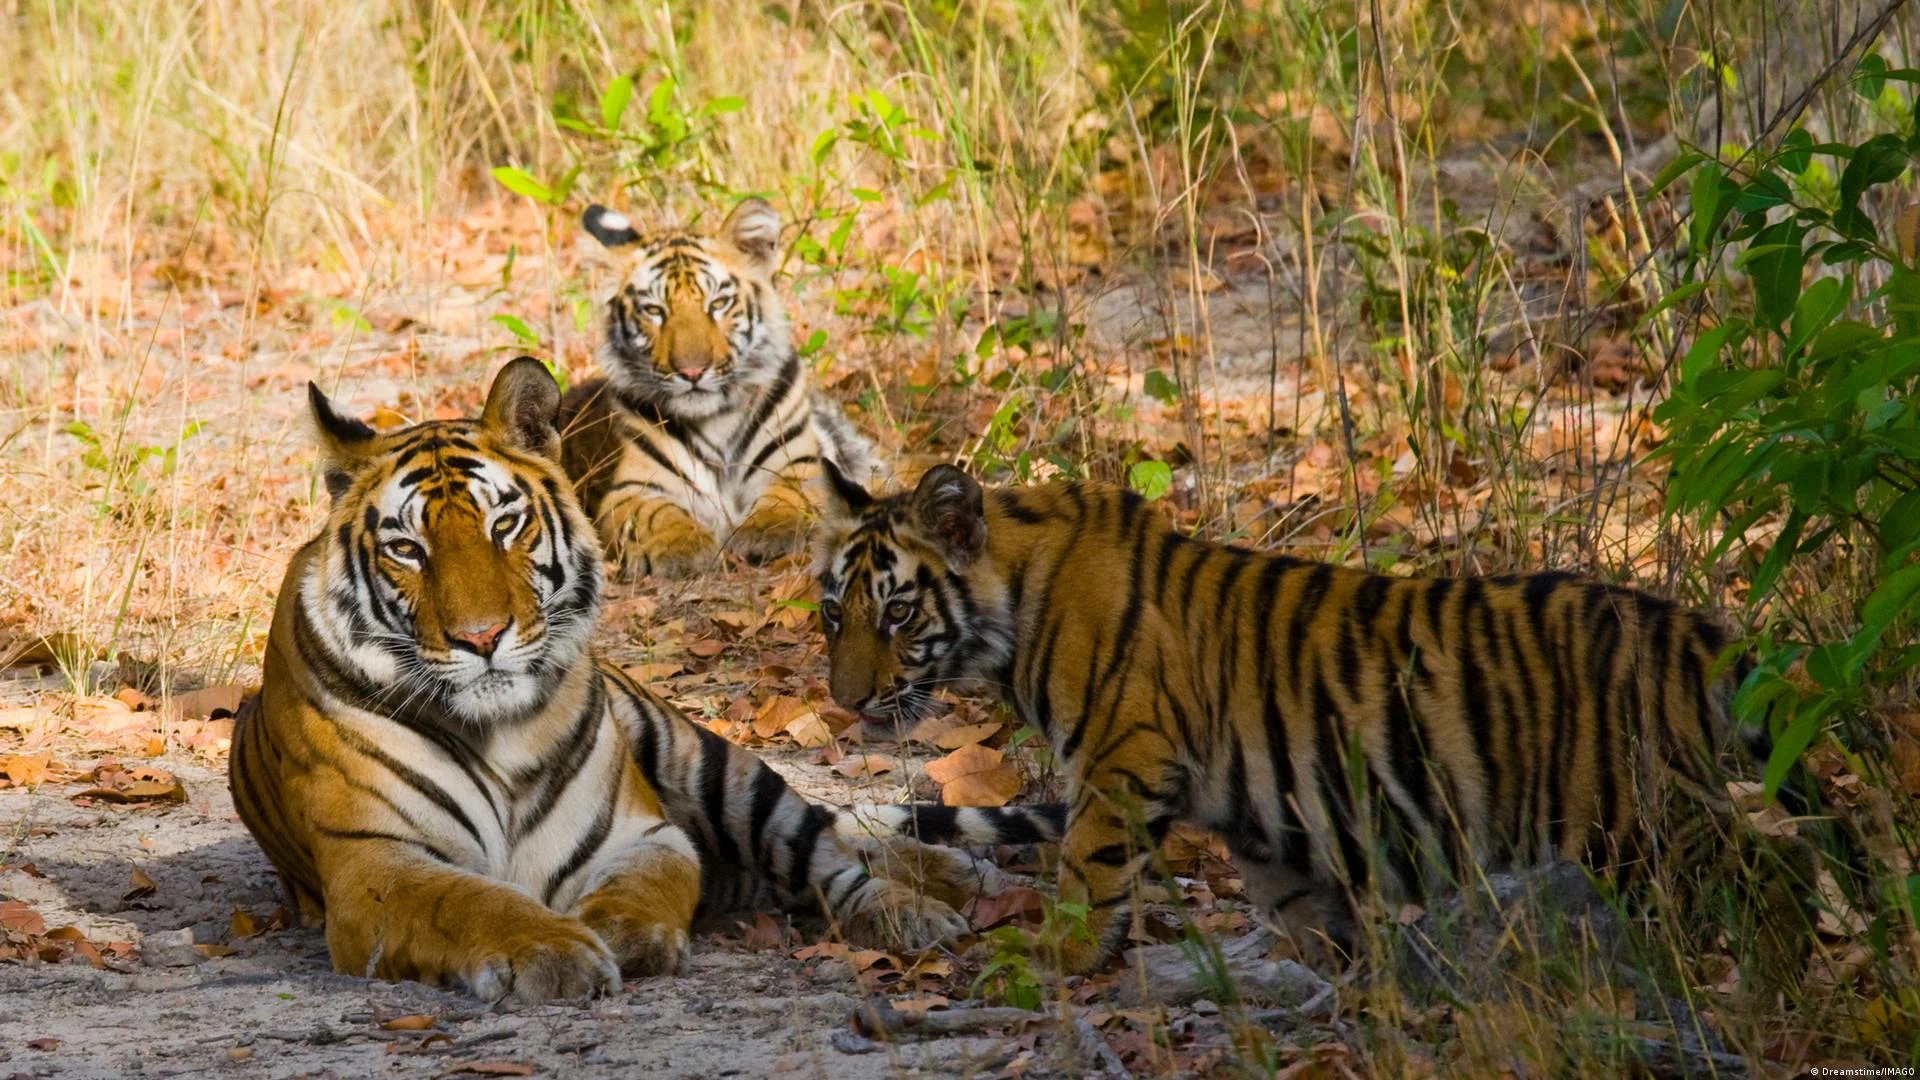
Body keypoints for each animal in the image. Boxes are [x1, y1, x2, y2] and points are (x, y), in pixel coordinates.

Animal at [229, 358, 1061, 1004]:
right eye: (406, 548)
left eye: (504, 525)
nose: (482, 638)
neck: (496, 733)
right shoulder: (377, 863)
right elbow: (471, 902)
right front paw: (555, 950)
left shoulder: (642, 833)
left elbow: (644, 888)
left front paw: (614, 935)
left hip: (711, 764)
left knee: (825, 846)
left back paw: (931, 902)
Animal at [558, 197, 874, 579]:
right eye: (654, 310)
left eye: (718, 304)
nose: (692, 371)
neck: (715, 420)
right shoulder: (634, 487)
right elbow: (654, 515)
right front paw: (679, 547)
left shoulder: (798, 464)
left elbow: (788, 496)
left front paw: (770, 530)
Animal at [812, 462, 1817, 975]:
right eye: (833, 614)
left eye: (896, 613)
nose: (846, 703)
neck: (1017, 601)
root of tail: (1692, 632)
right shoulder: (1262, 815)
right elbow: (1302, 908)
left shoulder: (1121, 759)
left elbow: (1090, 870)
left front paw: (1054, 955)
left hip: (1625, 820)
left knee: (1765, 874)